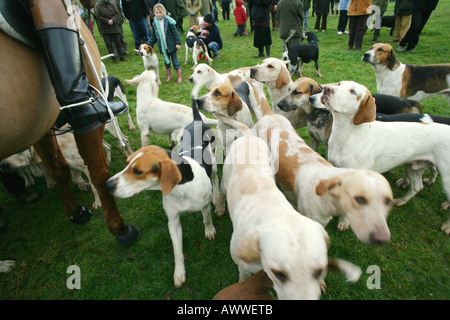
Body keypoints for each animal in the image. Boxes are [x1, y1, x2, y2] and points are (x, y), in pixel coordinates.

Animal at [0, 10, 139, 245]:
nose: (2, 165)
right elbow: (65, 173)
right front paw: (78, 201)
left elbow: (92, 177)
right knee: (107, 147)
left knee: (122, 136)